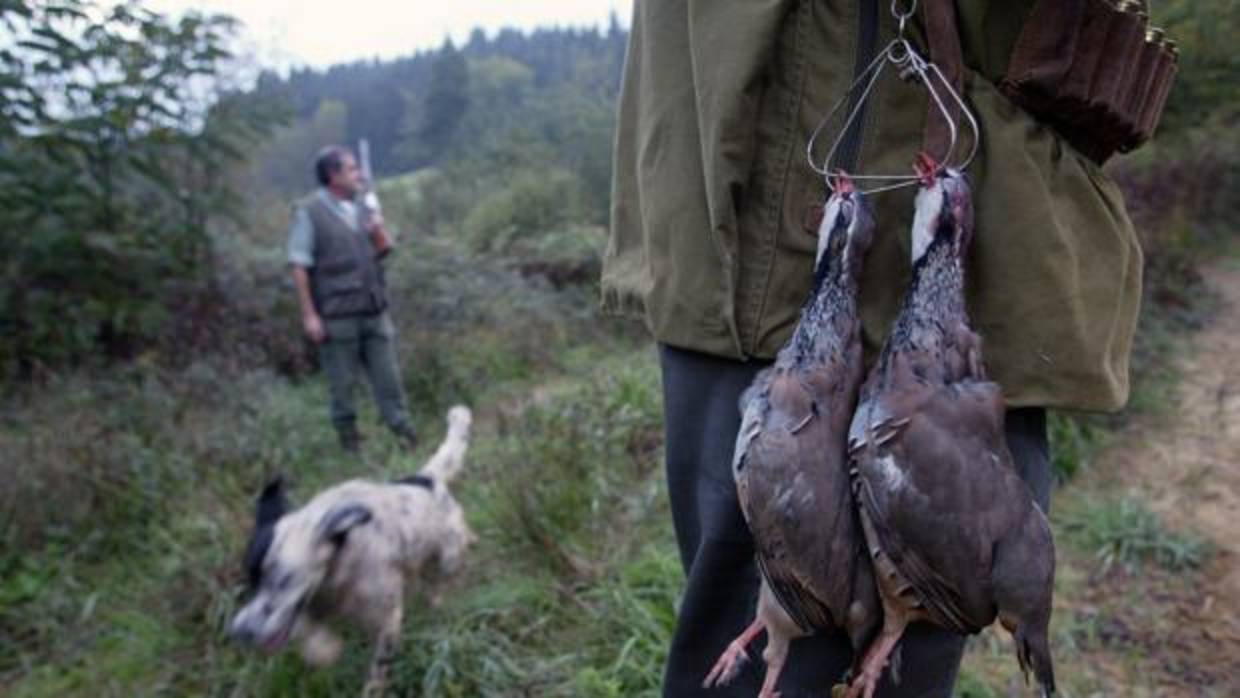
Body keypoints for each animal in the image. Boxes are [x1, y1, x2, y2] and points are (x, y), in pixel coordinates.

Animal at [228, 406, 473, 694]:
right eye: (251, 581)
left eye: (284, 580)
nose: (239, 631)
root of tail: (426, 478)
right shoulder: (313, 604)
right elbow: (308, 629)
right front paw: (324, 649)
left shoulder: (386, 618)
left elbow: (379, 663)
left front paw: (372, 688)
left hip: (448, 551)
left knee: (445, 571)